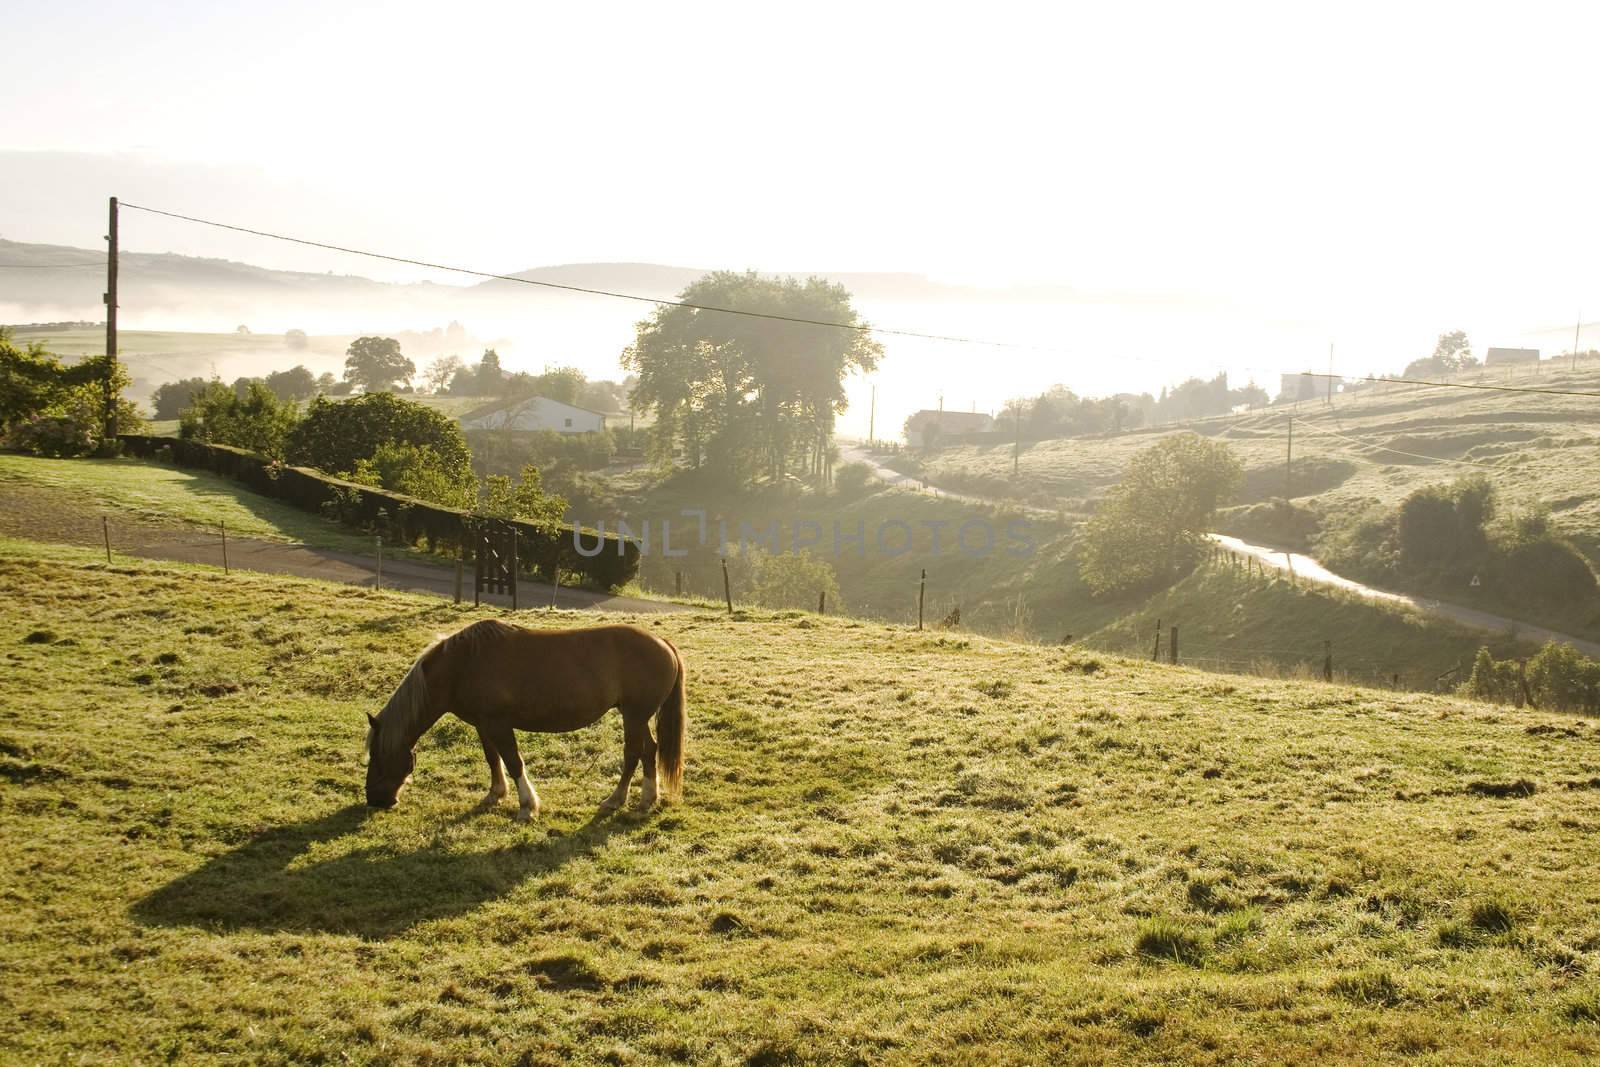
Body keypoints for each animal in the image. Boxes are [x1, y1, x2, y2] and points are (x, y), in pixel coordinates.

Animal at [366, 617, 684, 819]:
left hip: (634, 716)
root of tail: (663, 643)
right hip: (638, 718)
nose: (374, 800)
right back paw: (647, 799)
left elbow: (513, 761)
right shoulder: (483, 724)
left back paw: (616, 799)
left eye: (378, 757)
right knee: (649, 750)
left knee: (633, 753)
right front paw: (496, 794)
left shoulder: (499, 724)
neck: (463, 665)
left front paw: (527, 806)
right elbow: (493, 758)